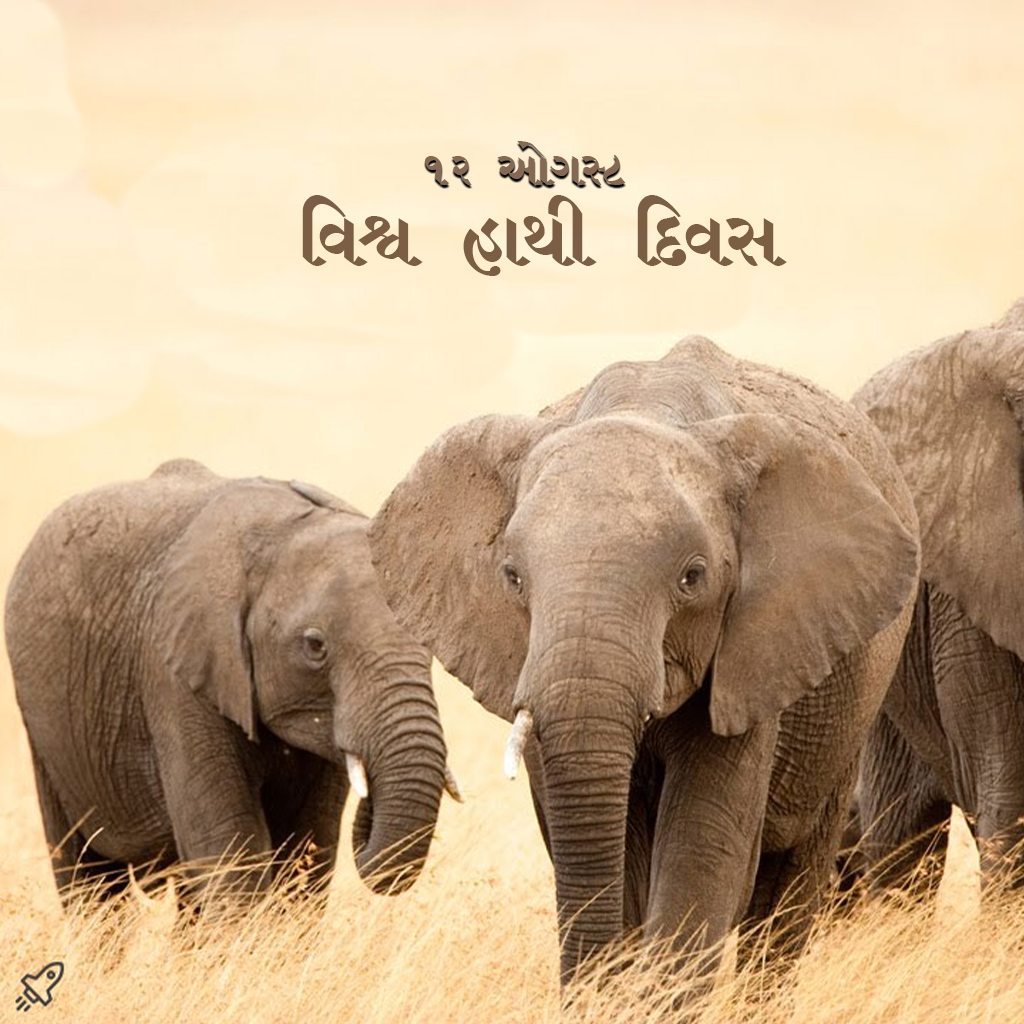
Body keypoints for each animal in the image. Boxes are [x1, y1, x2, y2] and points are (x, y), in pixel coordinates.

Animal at [6, 458, 457, 904]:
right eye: (315, 646)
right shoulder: (176, 673)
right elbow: (229, 846)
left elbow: (307, 848)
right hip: (45, 730)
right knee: (89, 879)